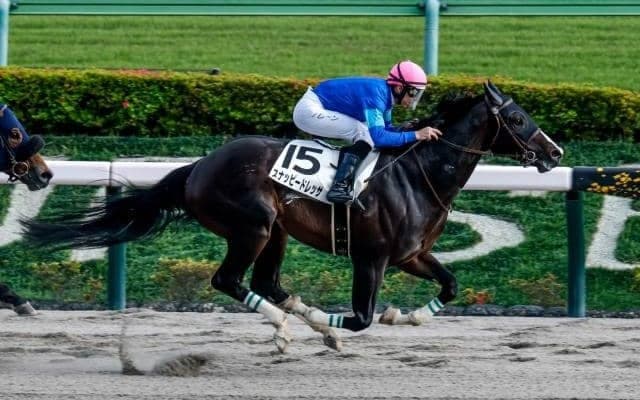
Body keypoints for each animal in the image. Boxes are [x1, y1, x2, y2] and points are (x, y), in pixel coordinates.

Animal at [21, 81, 563, 350]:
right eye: (517, 119)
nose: (554, 153)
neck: (418, 173)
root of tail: (199, 166)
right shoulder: (371, 256)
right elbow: (361, 318)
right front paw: (344, 324)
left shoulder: (412, 254)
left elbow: (449, 286)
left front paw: (404, 316)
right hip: (253, 225)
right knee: (228, 280)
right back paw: (285, 329)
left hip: (276, 232)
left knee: (268, 282)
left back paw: (301, 324)